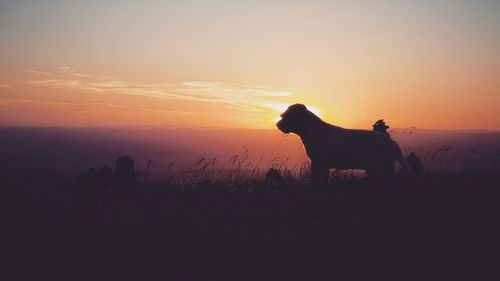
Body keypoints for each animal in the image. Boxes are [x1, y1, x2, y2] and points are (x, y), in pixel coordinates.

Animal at [278, 103, 410, 184]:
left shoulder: (318, 164)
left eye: (287, 116)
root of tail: (391, 142)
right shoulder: (323, 166)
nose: (277, 124)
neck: (314, 130)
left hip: (383, 167)